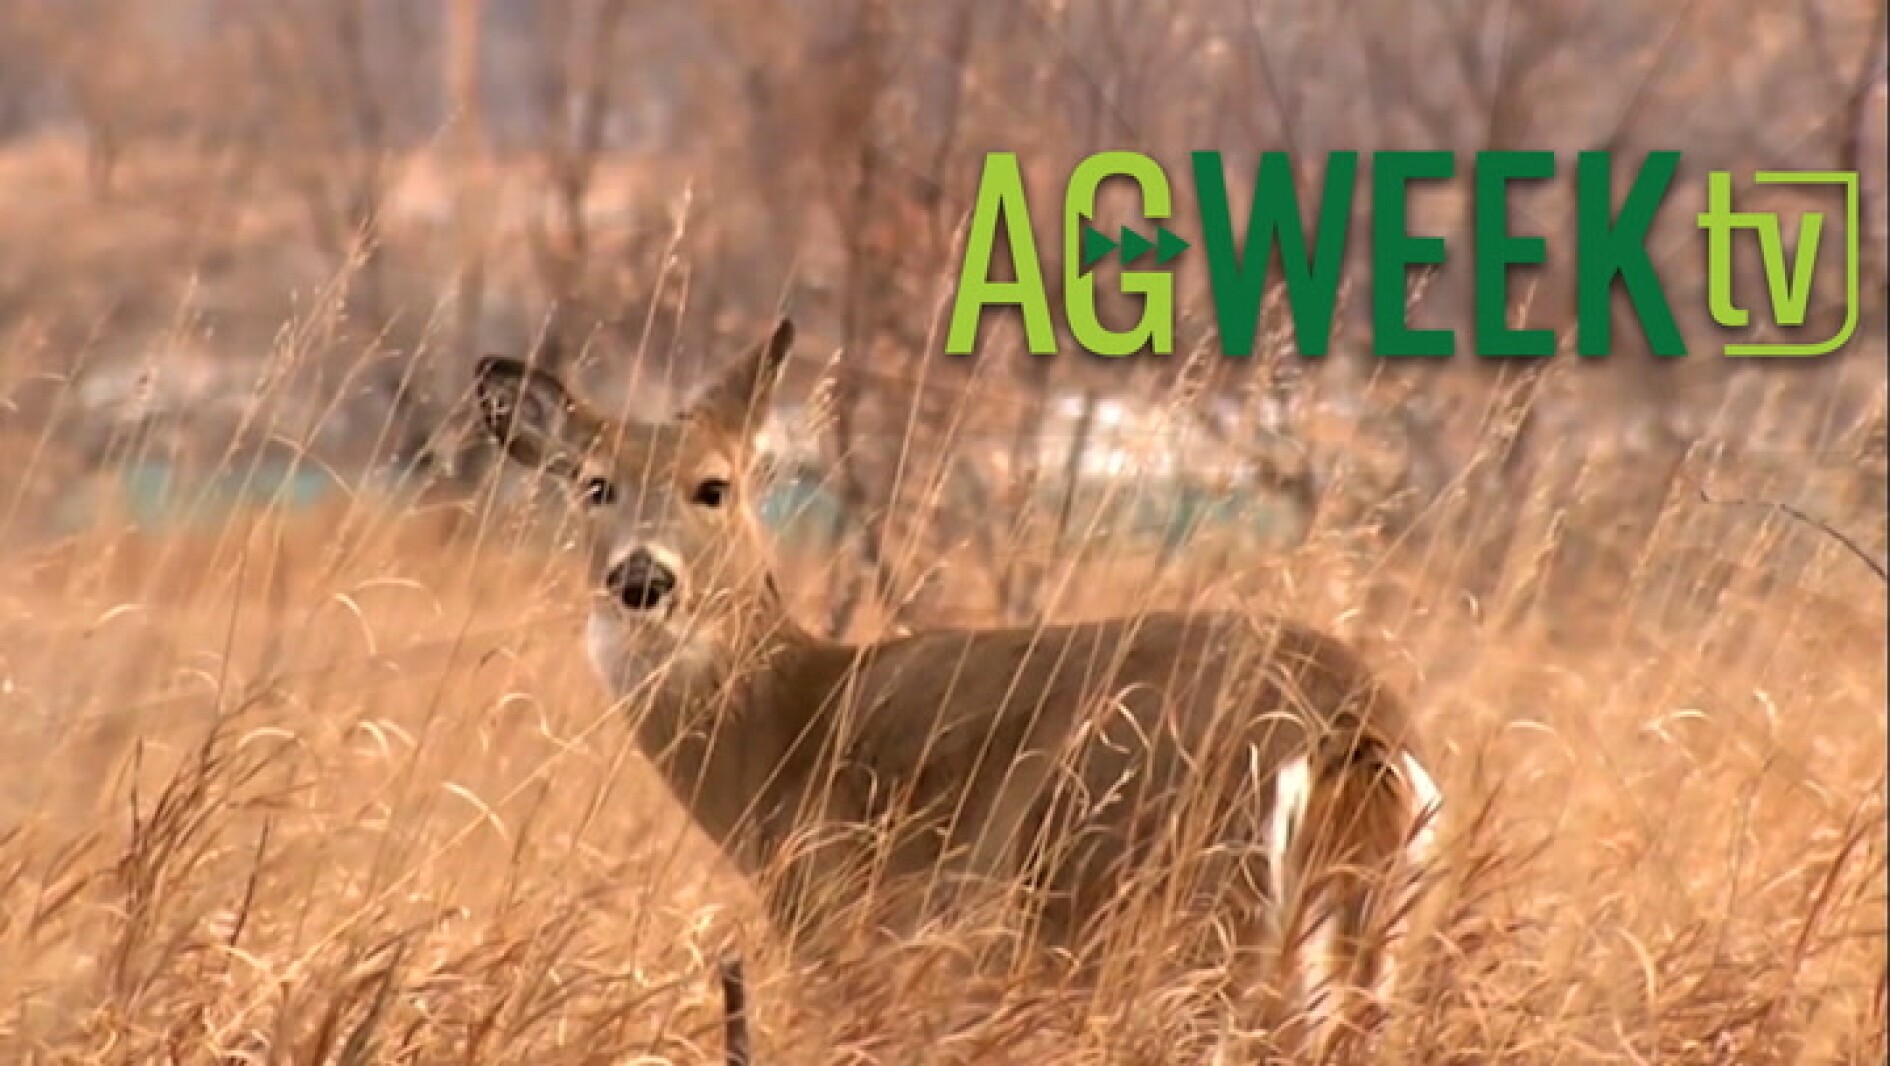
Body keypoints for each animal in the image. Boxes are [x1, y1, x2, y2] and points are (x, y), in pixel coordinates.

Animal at [472, 317, 1444, 1051]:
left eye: (712, 486)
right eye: (594, 486)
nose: (642, 577)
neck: (785, 732)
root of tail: (1348, 720)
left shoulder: (852, 940)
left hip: (1177, 913)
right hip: (1364, 934)